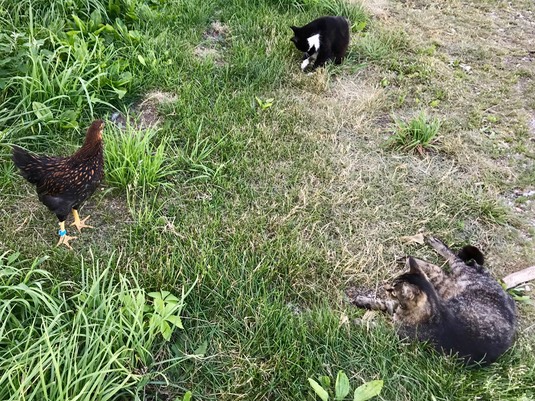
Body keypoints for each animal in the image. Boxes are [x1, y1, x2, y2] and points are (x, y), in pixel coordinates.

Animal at [348, 236, 517, 365]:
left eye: (393, 291)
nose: (385, 288)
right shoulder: (395, 307)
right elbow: (381, 303)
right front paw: (363, 300)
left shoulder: (396, 332)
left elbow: (376, 325)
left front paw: (357, 321)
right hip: (443, 283)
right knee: (437, 265)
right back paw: (415, 254)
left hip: (450, 281)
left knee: (453, 260)